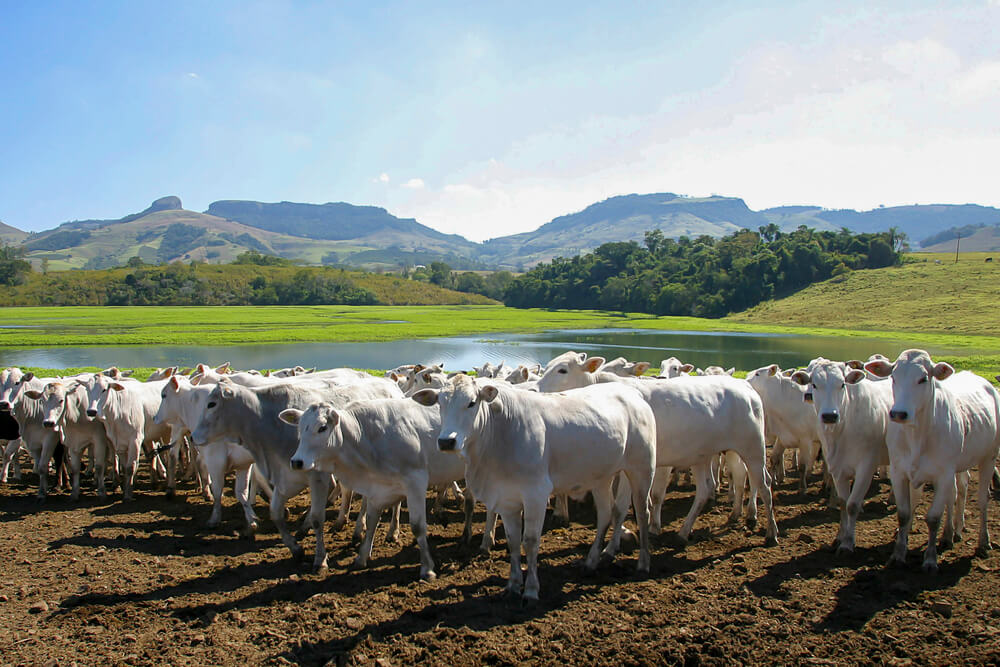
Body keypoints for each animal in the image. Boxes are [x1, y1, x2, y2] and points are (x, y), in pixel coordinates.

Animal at [284, 400, 474, 580]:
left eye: (322, 428)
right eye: (300, 428)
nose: (296, 461)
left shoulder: (416, 481)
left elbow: (418, 527)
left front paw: (427, 569)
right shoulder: (377, 489)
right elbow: (371, 521)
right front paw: (361, 557)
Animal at [412, 376, 656, 600]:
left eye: (471, 402)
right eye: (440, 403)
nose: (446, 441)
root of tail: (632, 394)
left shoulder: (536, 494)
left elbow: (529, 541)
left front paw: (530, 589)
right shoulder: (506, 498)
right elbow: (513, 541)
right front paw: (512, 584)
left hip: (642, 468)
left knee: (643, 513)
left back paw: (643, 564)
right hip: (601, 476)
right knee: (606, 513)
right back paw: (592, 561)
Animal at [536, 352, 776, 544]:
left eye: (562, 369)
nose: (536, 389)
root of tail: (745, 387)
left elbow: (643, 498)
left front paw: (645, 527)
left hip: (753, 449)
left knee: (762, 484)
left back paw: (769, 532)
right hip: (710, 454)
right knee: (718, 484)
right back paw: (696, 528)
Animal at [792, 360, 896, 552]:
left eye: (842, 384)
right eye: (814, 384)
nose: (829, 415)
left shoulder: (866, 467)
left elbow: (852, 505)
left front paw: (847, 543)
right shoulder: (836, 467)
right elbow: (843, 503)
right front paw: (840, 537)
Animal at [868, 350, 1000, 576]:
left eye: (923, 378)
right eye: (893, 377)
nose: (898, 413)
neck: (917, 436)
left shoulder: (943, 473)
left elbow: (933, 518)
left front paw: (930, 560)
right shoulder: (899, 472)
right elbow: (904, 513)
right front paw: (898, 555)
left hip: (988, 458)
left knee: (983, 499)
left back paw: (983, 542)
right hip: (959, 466)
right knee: (957, 491)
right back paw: (950, 533)